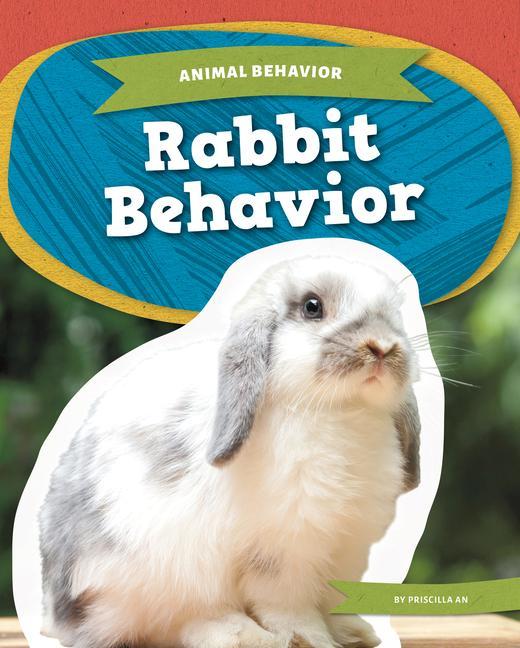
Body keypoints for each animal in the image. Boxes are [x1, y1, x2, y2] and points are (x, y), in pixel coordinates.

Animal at [38, 255, 422, 648]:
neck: (342, 410)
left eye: (394, 312)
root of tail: (59, 612)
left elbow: (329, 598)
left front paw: (346, 630)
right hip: (164, 571)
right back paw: (245, 636)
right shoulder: (284, 549)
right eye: (312, 307)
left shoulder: (346, 545)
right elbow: (288, 605)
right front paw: (312, 639)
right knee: (182, 620)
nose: (381, 346)